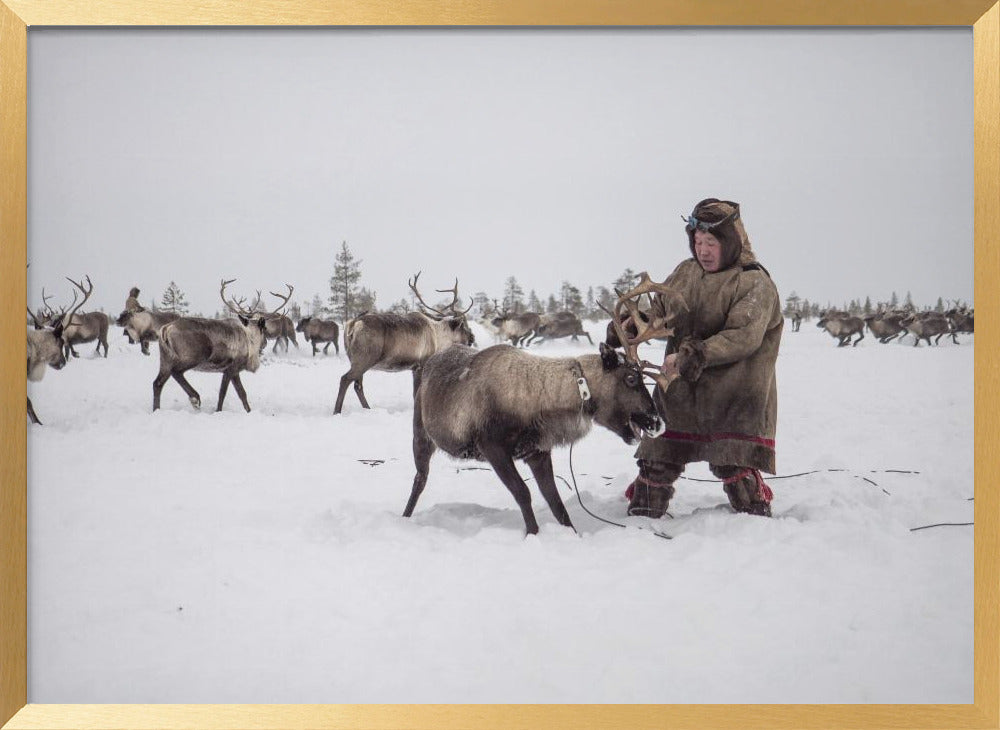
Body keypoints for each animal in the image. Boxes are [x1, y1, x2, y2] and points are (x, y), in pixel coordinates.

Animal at [152, 280, 292, 412]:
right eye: (264, 329)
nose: (265, 343)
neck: (250, 339)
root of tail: (166, 328)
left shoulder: (231, 371)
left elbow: (241, 394)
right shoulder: (231, 369)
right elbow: (226, 394)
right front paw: (220, 411)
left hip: (165, 358)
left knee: (157, 383)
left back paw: (157, 409)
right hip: (191, 357)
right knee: (176, 372)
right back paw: (195, 398)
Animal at [334, 273, 476, 415]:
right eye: (463, 327)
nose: (472, 338)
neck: (437, 335)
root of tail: (354, 323)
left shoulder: (413, 368)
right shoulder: (422, 364)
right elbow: (417, 392)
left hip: (355, 359)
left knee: (357, 385)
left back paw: (367, 409)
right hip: (364, 358)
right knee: (345, 379)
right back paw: (337, 411)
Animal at [404, 274, 687, 536]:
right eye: (630, 378)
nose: (658, 422)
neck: (544, 401)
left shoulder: (538, 451)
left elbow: (555, 501)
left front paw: (571, 533)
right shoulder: (492, 446)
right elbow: (523, 493)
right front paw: (533, 534)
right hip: (421, 434)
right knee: (419, 479)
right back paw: (405, 517)